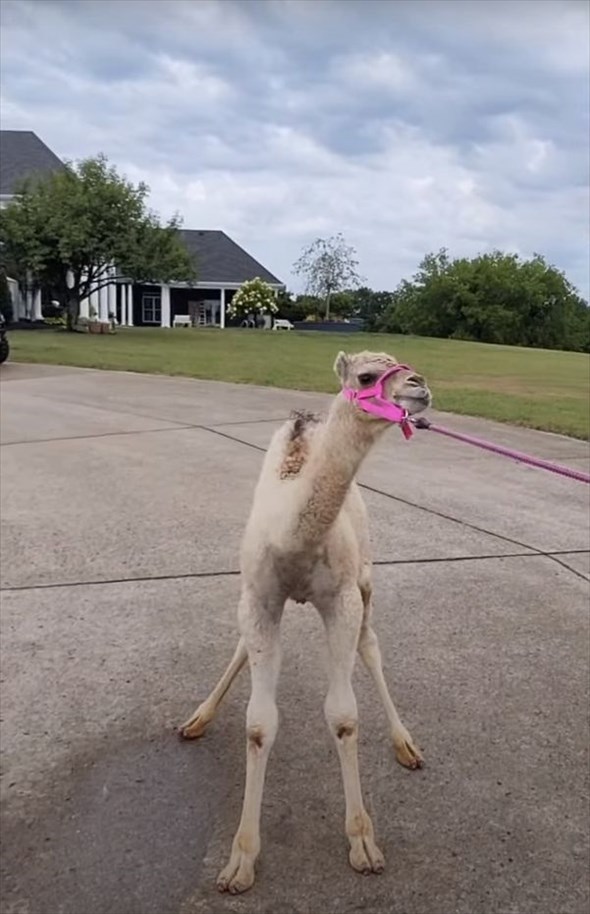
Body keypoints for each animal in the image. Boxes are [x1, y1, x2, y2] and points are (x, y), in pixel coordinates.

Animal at [178, 348, 432, 892]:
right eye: (367, 375)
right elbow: (258, 724)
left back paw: (406, 744)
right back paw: (198, 718)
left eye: (403, 364)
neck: (293, 538)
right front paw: (239, 861)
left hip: (365, 572)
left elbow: (343, 716)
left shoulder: (342, 597)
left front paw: (362, 842)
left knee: (370, 643)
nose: (419, 386)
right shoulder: (258, 597)